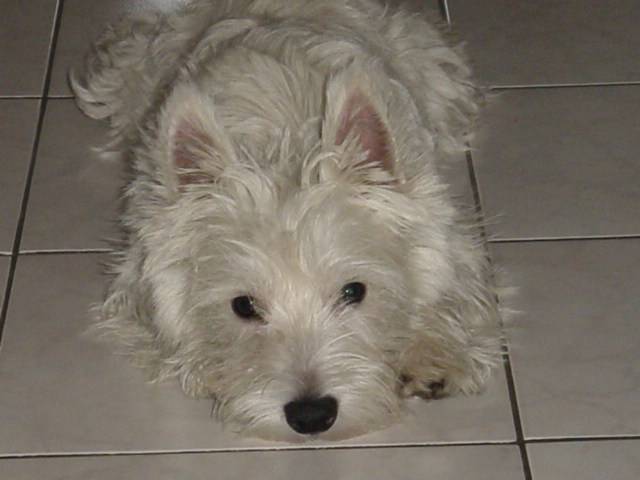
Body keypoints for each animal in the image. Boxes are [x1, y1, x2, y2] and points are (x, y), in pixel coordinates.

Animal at [72, 0, 501, 441]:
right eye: (243, 306)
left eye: (354, 291)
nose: (311, 415)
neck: (285, 145)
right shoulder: (137, 269)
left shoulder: (446, 235)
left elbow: (454, 291)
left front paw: (434, 354)